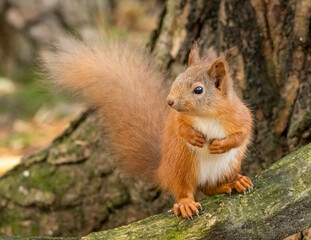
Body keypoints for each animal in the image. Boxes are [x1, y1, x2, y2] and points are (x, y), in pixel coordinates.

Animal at [42, 37, 254, 219]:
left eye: (198, 90)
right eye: (176, 79)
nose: (170, 101)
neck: (206, 116)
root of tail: (163, 170)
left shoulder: (240, 115)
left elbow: (243, 133)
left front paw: (221, 145)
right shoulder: (177, 119)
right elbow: (179, 129)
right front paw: (193, 137)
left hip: (228, 165)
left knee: (210, 187)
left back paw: (234, 182)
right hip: (182, 165)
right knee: (185, 190)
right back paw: (186, 203)